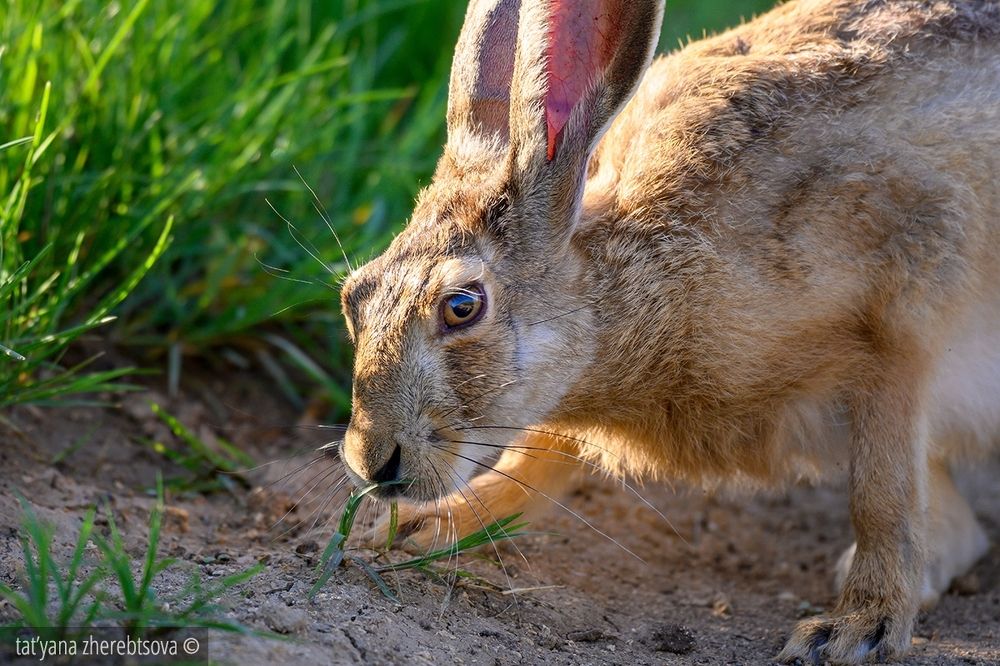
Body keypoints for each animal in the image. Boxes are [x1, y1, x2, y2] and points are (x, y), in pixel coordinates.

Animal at [334, 0, 1000, 663]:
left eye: (462, 306)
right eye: (354, 297)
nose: (373, 463)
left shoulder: (903, 315)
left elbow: (883, 495)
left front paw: (854, 629)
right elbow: (538, 459)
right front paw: (418, 528)